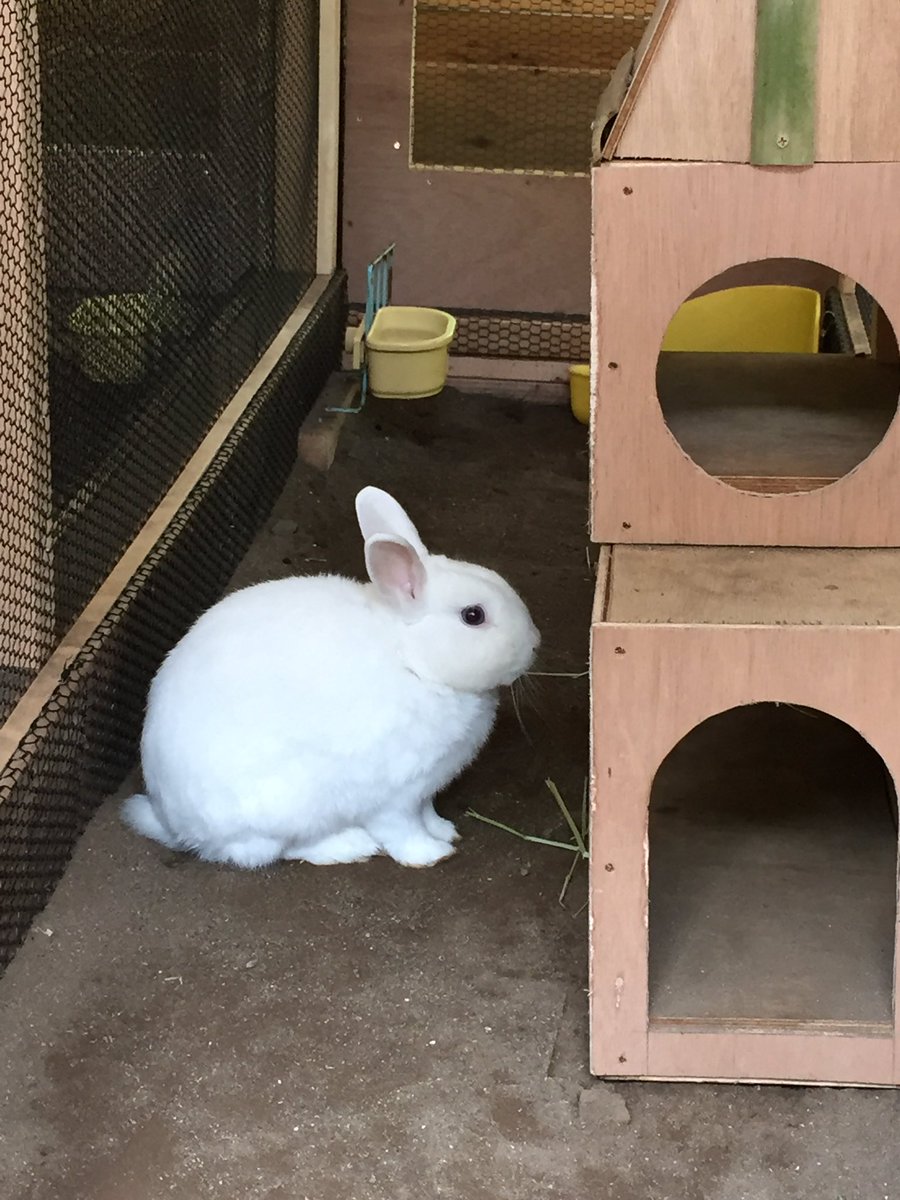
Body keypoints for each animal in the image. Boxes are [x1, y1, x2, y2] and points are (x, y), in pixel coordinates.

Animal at [122, 482, 540, 868]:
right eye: (473, 615)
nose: (535, 644)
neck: (412, 662)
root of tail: (173, 822)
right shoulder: (394, 795)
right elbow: (401, 829)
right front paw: (430, 854)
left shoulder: (423, 790)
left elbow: (427, 813)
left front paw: (445, 831)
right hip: (286, 807)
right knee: (275, 850)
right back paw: (350, 846)